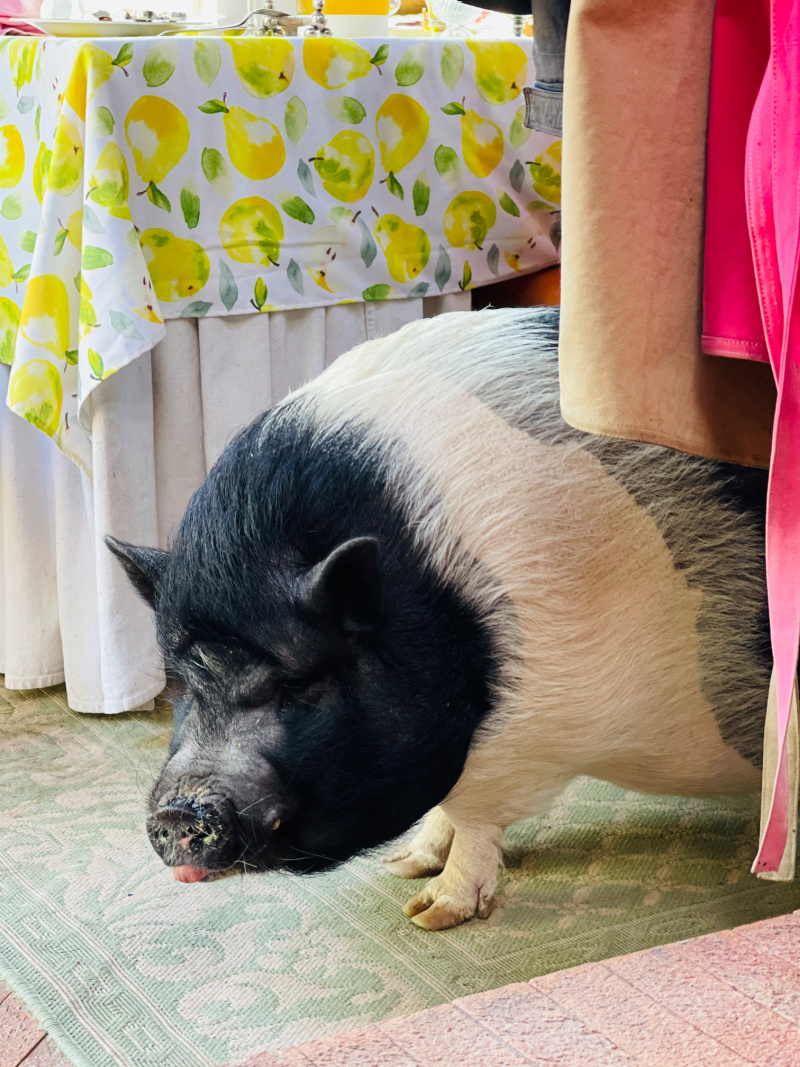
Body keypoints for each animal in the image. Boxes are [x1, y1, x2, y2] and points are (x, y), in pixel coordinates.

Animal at [107, 306, 770, 930]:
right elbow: (443, 809)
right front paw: (402, 865)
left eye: (298, 683)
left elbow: (475, 820)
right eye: (181, 684)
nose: (176, 813)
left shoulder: (523, 741)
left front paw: (429, 913)